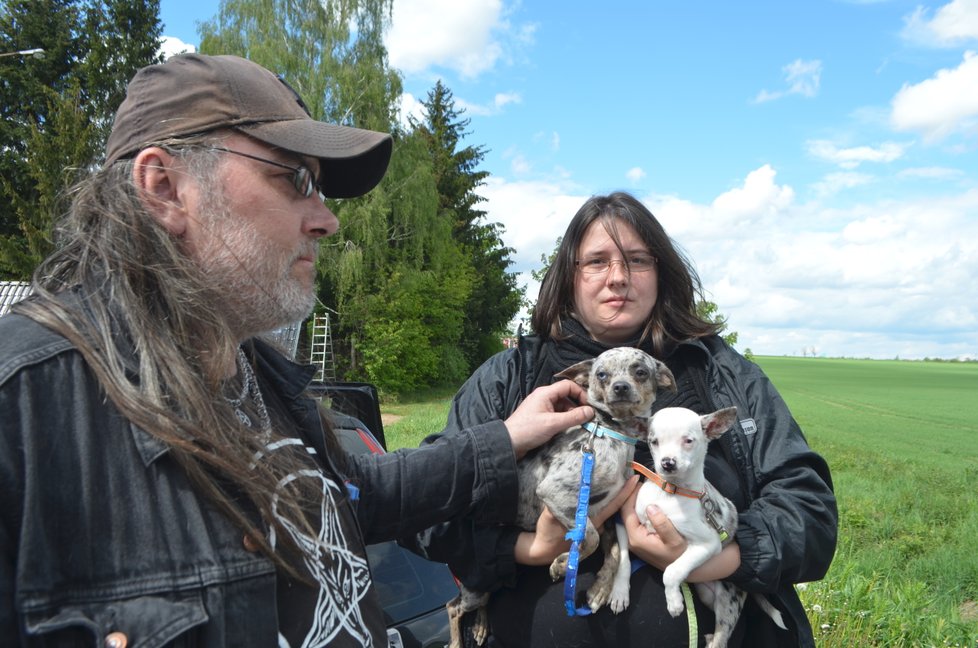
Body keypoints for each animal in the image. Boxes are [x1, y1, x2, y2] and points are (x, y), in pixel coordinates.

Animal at [446, 350, 676, 648]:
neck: (611, 432)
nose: (620, 387)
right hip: (477, 587)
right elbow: (589, 538)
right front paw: (563, 564)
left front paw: (600, 589)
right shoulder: (558, 495)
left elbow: (614, 552)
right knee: (452, 607)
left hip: (488, 586)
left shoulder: (605, 513)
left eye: (640, 372)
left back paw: (480, 626)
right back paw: (457, 641)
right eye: (601, 374)